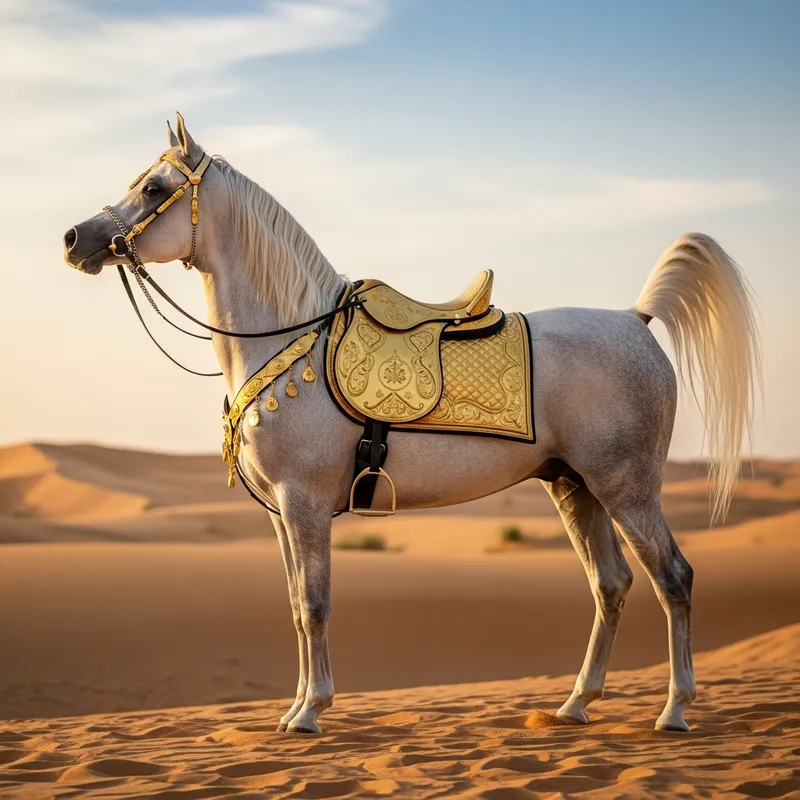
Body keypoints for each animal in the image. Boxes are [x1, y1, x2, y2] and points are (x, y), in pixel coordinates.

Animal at [63, 114, 760, 735]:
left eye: (155, 188)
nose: (74, 239)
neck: (287, 340)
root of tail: (635, 319)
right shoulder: (281, 514)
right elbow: (295, 607)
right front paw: (295, 708)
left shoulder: (303, 503)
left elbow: (314, 605)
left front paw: (311, 712)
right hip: (574, 487)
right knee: (610, 585)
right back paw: (575, 704)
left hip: (627, 488)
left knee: (673, 578)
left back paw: (674, 710)